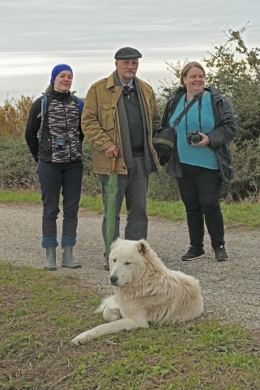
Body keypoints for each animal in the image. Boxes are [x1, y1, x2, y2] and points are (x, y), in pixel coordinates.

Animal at [71, 238, 203, 344]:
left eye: (128, 263)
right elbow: (106, 312)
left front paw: (82, 337)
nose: (112, 279)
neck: (143, 281)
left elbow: (104, 327)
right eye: (114, 260)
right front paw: (116, 317)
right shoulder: (125, 308)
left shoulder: (137, 321)